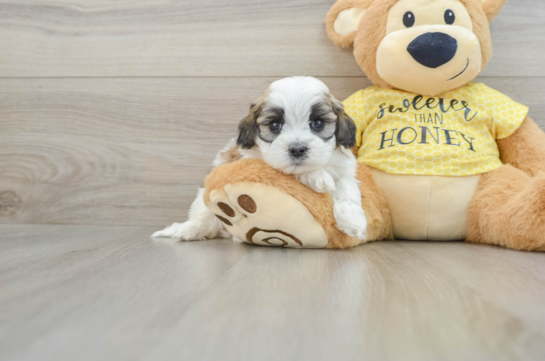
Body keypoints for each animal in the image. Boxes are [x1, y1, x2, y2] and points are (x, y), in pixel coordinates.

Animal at [151, 77, 368, 243]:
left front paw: (353, 221)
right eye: (275, 125)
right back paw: (191, 229)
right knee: (206, 218)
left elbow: (346, 187)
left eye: (317, 123)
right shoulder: (254, 162)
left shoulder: (345, 169)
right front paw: (317, 176)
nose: (297, 148)